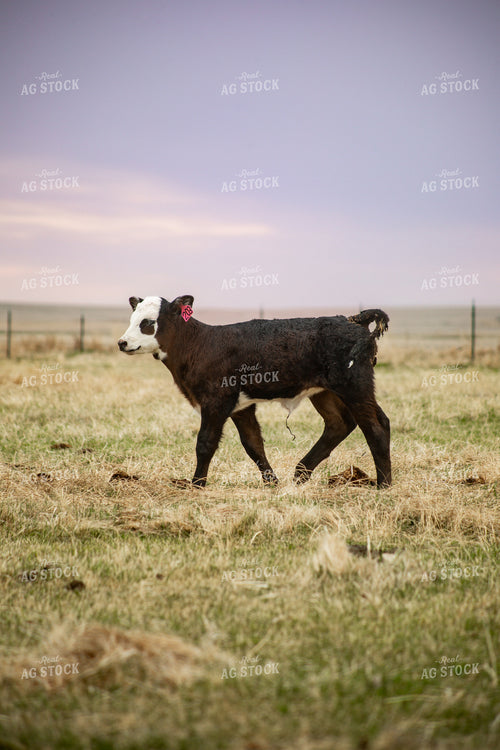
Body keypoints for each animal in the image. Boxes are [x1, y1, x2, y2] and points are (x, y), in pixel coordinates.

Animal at [118, 295, 391, 488]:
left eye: (148, 323)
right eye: (131, 320)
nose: (122, 342)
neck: (201, 344)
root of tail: (351, 320)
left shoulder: (216, 401)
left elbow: (205, 443)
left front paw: (196, 484)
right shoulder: (242, 407)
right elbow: (253, 443)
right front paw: (271, 482)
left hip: (355, 386)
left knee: (374, 427)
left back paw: (384, 485)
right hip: (327, 392)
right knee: (342, 423)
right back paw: (300, 474)